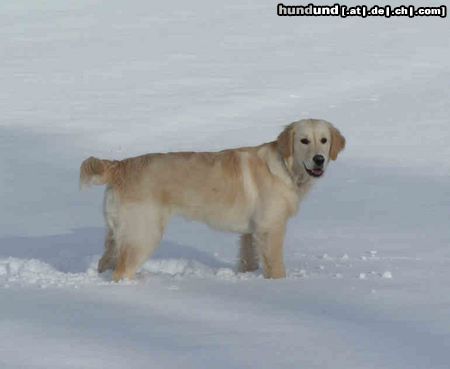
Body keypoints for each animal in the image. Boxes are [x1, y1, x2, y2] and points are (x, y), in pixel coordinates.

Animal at [81, 119, 346, 280]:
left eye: (324, 140)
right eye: (304, 140)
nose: (319, 159)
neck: (286, 166)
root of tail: (120, 165)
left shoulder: (250, 232)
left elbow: (248, 261)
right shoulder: (271, 228)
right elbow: (276, 267)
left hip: (116, 233)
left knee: (105, 262)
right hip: (144, 233)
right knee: (122, 271)